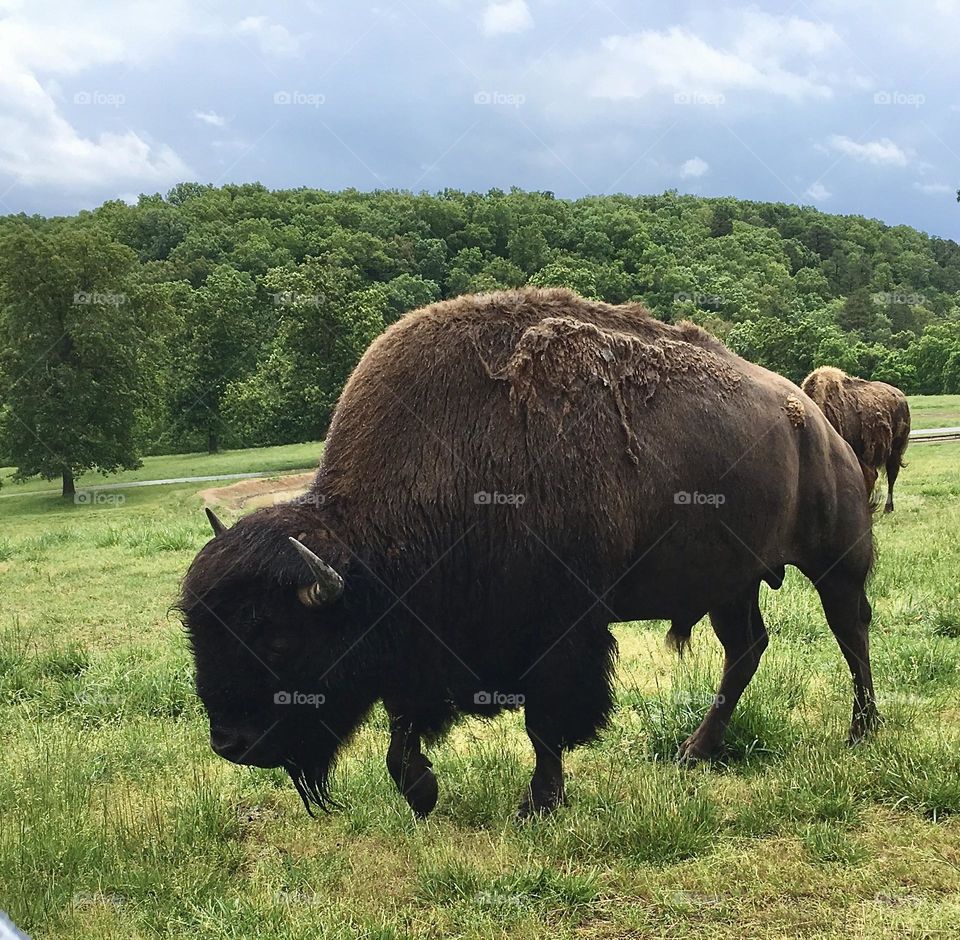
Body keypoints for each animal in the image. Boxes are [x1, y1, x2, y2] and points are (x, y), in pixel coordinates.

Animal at [180, 284, 876, 816]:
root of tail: (817, 422)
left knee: (850, 631)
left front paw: (538, 803)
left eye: (276, 636)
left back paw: (862, 731)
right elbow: (404, 728)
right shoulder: (424, 642)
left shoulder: (557, 632)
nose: (230, 743)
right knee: (746, 648)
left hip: (836, 562)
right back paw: (696, 750)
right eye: (199, 632)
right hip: (729, 582)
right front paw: (424, 793)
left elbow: (544, 723)